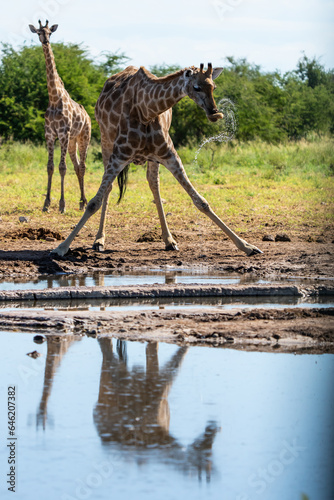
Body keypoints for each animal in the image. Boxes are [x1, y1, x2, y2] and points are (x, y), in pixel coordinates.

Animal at [28, 20, 90, 213]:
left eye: (50, 32)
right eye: (39, 32)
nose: (45, 41)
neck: (54, 98)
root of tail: (88, 116)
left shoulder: (63, 133)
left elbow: (62, 167)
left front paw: (62, 204)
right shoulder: (49, 134)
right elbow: (50, 167)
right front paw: (46, 203)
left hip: (83, 137)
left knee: (82, 166)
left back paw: (84, 202)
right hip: (72, 141)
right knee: (77, 167)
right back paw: (81, 202)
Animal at [52, 64, 262, 256]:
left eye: (213, 87)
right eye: (196, 87)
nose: (214, 112)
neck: (147, 111)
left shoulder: (169, 154)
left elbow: (201, 201)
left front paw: (247, 246)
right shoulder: (119, 154)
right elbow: (94, 202)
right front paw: (61, 247)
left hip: (151, 158)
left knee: (154, 184)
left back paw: (169, 240)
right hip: (106, 142)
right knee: (110, 188)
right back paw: (99, 240)